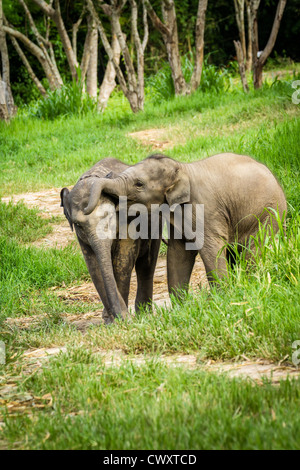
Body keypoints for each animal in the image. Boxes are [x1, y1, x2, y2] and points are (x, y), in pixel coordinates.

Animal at [59, 158, 161, 324]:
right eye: (78, 225)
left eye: (110, 217)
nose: (118, 317)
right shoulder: (82, 237)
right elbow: (94, 265)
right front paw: (112, 321)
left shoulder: (129, 220)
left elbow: (122, 262)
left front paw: (123, 319)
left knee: (146, 264)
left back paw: (144, 314)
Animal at [83, 153, 288, 298]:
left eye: (139, 184)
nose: (85, 209)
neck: (183, 169)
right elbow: (178, 253)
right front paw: (181, 306)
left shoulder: (206, 211)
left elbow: (211, 249)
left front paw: (223, 297)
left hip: (267, 214)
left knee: (253, 250)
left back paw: (251, 282)